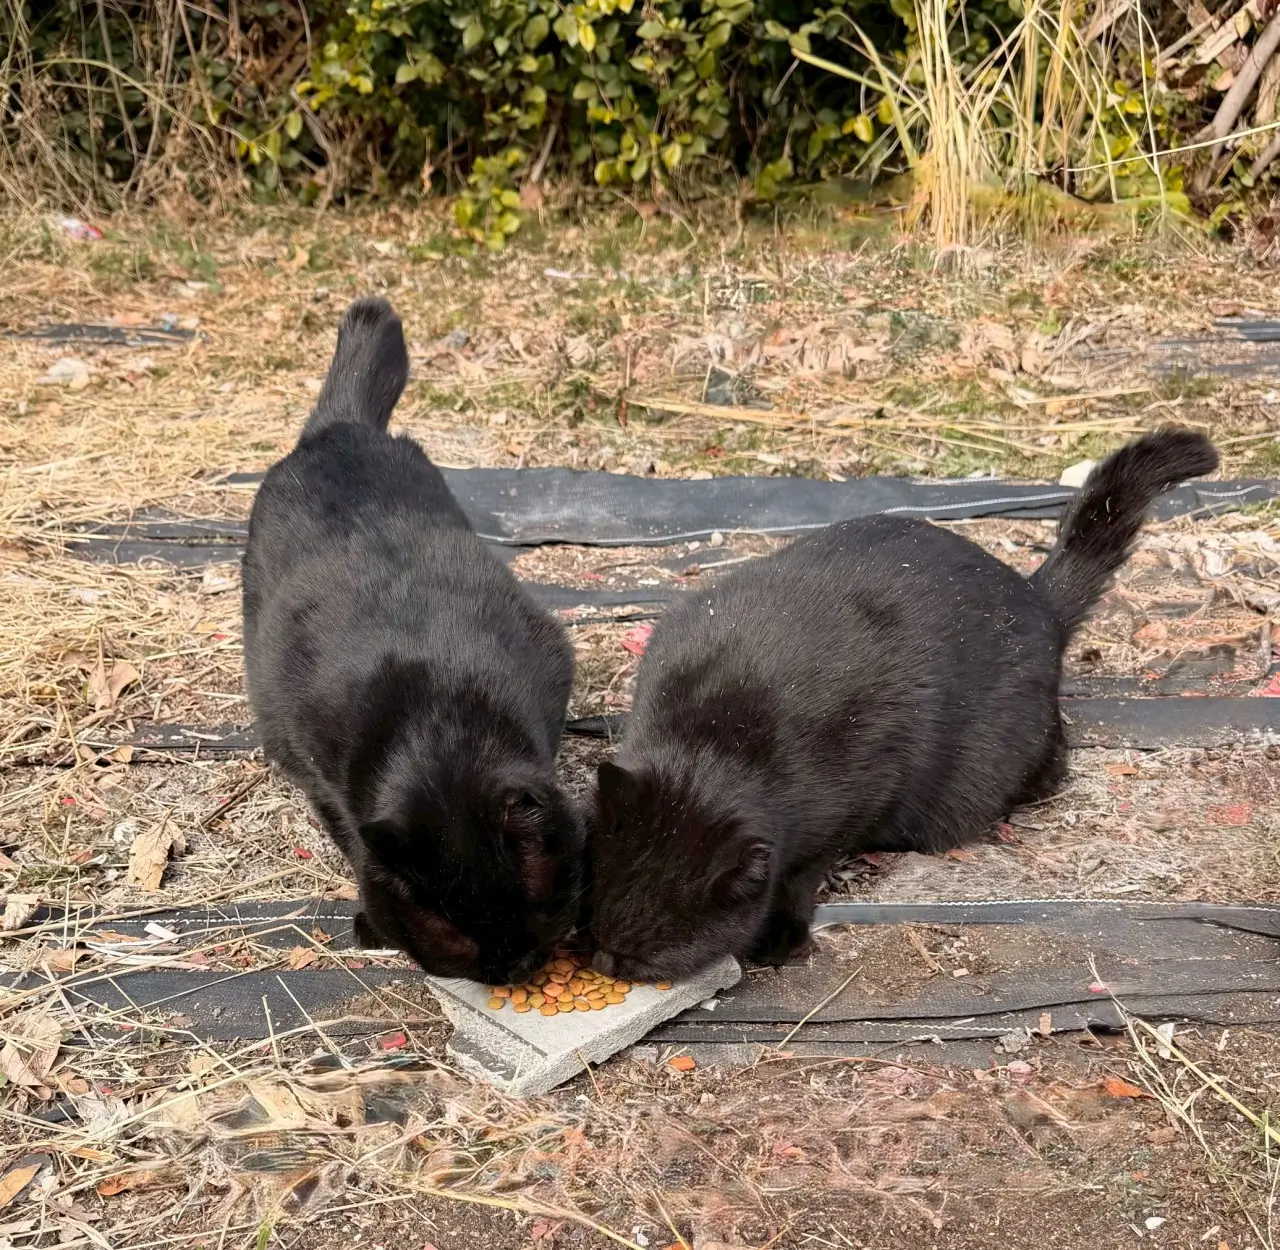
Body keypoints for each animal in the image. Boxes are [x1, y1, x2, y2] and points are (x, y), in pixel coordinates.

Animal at [242, 298, 581, 985]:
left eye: (530, 912)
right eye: (458, 939)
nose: (511, 965)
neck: (438, 729)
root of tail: (337, 429)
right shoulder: (317, 773)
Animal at [587, 429, 1219, 982]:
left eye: (643, 956)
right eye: (584, 922)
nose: (601, 961)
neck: (715, 736)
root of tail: (1035, 598)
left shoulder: (857, 790)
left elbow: (803, 870)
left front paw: (781, 933)